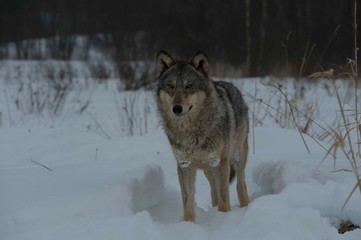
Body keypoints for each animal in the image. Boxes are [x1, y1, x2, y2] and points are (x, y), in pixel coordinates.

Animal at [155, 50, 250, 221]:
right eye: (171, 86)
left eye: (189, 86)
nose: (177, 108)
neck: (191, 132)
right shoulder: (184, 164)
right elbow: (187, 199)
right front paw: (188, 223)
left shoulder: (221, 162)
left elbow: (224, 196)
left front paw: (223, 218)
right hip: (208, 170)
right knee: (214, 191)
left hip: (236, 157)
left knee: (240, 184)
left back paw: (246, 206)